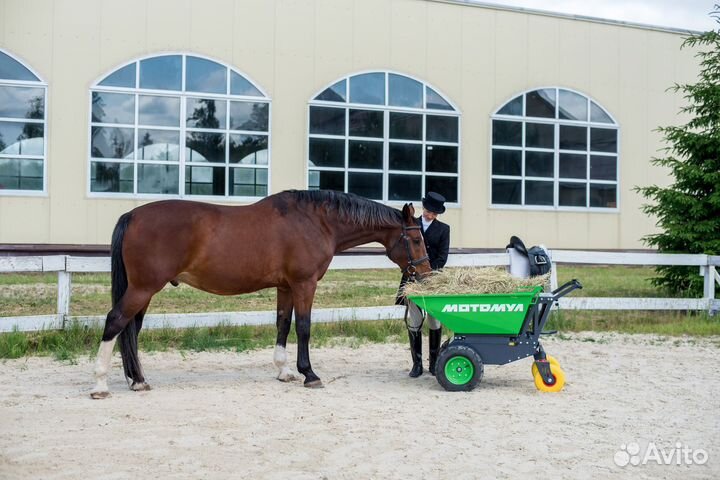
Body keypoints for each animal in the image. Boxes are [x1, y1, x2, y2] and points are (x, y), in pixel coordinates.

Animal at [88, 189, 428, 400]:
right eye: (416, 239)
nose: (425, 273)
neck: (315, 222)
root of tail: (132, 215)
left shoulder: (286, 286)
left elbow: (283, 325)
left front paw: (285, 372)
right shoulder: (304, 284)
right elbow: (303, 327)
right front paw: (309, 374)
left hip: (143, 290)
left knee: (130, 329)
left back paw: (137, 380)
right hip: (143, 288)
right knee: (116, 321)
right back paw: (101, 384)